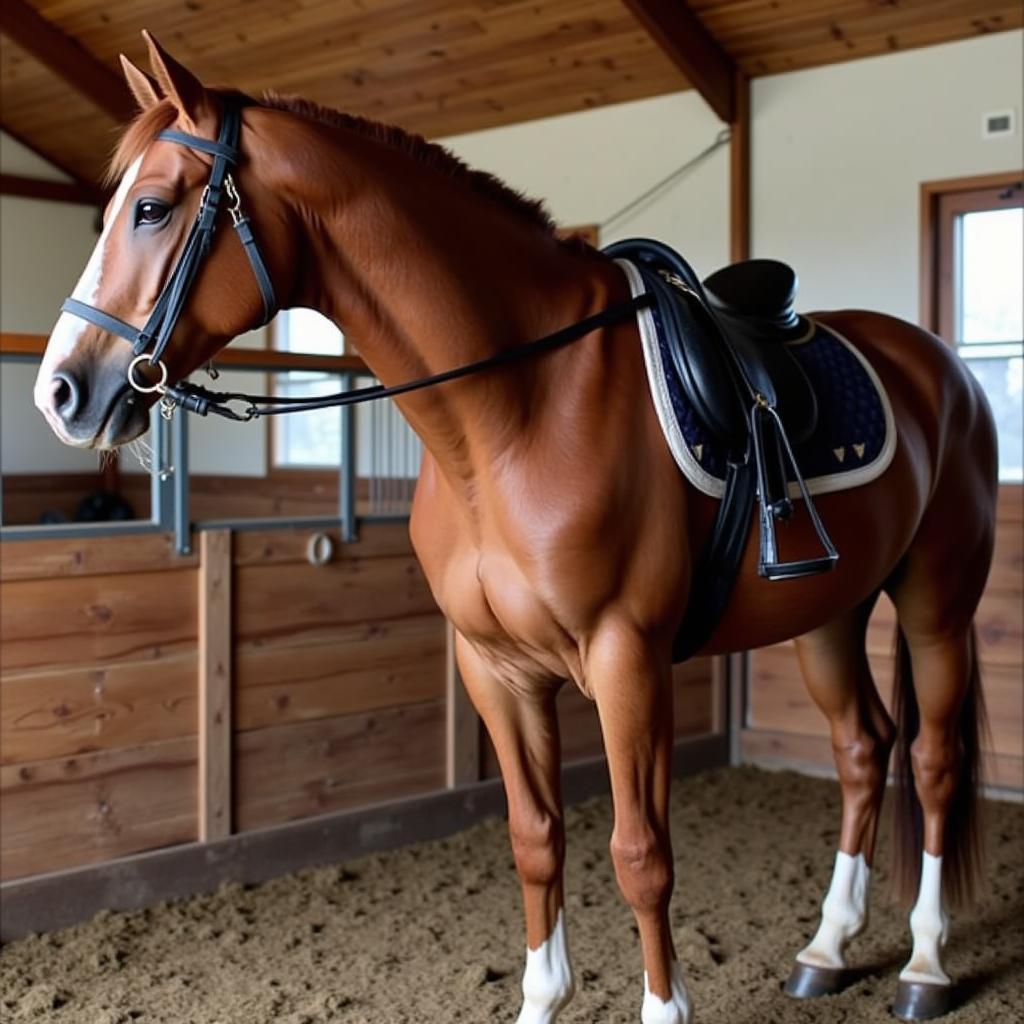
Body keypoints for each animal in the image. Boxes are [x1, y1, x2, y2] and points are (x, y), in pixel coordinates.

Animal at [36, 32, 995, 1024]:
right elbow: (535, 836)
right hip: (831, 616)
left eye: (152, 208)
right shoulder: (494, 667)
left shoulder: (627, 660)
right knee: (862, 750)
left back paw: (925, 965)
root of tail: (939, 370)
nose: (61, 392)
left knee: (933, 759)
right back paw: (827, 948)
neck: (515, 414)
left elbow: (640, 854)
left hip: (937, 600)